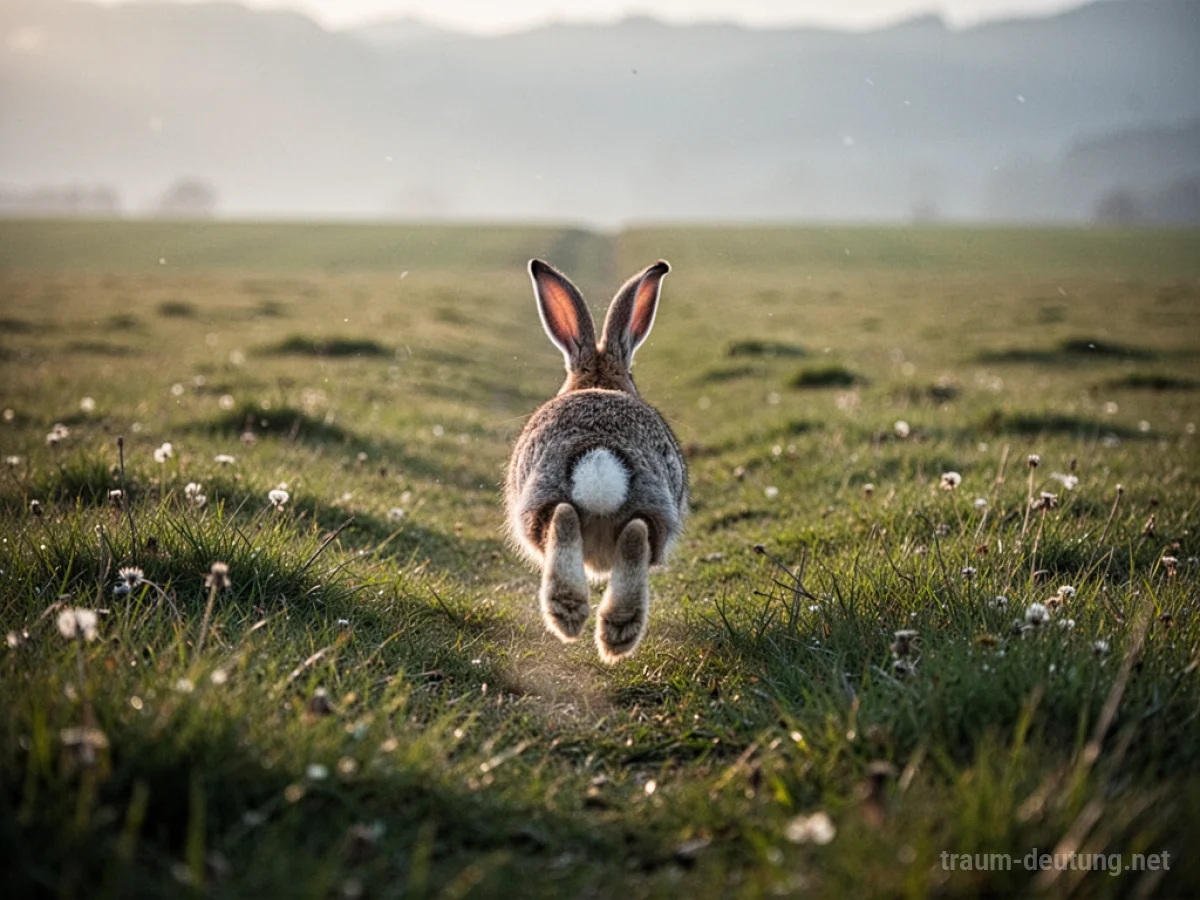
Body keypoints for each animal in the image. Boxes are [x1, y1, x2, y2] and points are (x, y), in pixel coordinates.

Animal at [505, 258, 688, 662]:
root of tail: (600, 454)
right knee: (629, 532)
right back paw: (610, 626)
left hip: (543, 500)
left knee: (570, 519)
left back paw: (582, 618)